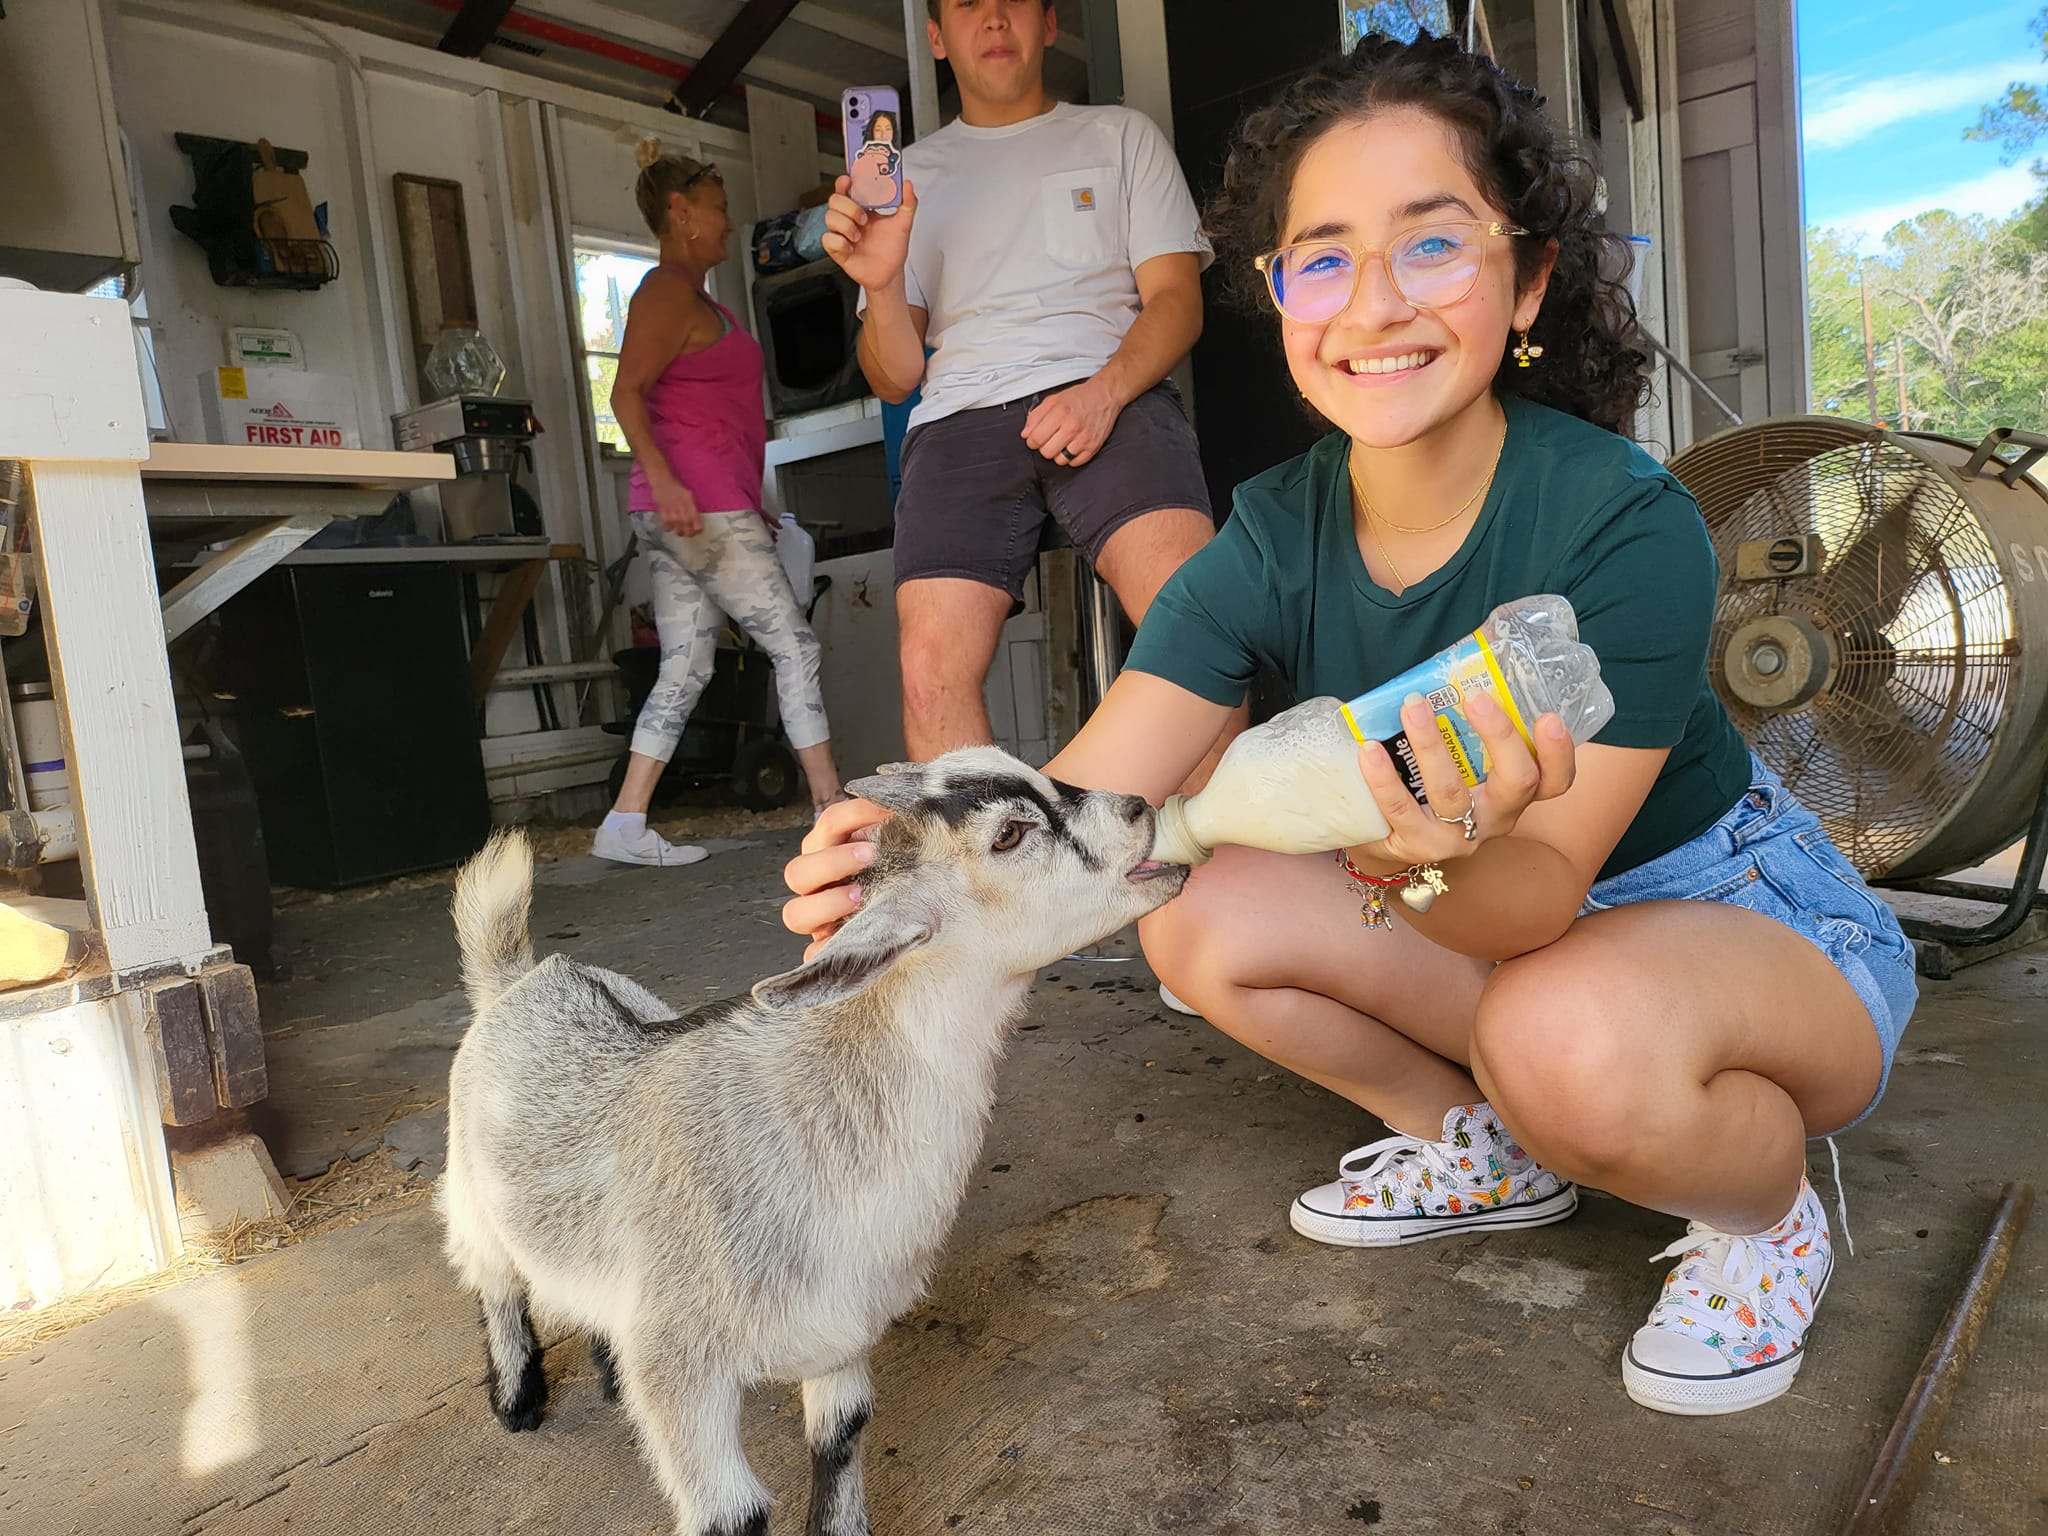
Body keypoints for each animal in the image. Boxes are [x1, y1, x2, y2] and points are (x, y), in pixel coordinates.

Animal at [438, 748, 1187, 1536]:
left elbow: (841, 1435)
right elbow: (733, 1514)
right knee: (493, 1279)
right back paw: (517, 1399)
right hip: (470, 1195)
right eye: (1010, 835)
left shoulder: (841, 1324)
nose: (1139, 806)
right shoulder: (681, 1365)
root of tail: (521, 977)